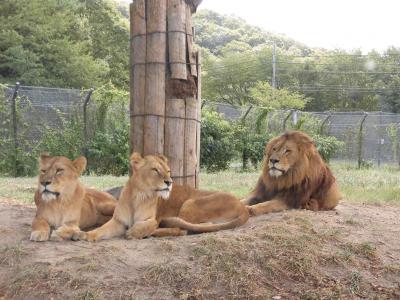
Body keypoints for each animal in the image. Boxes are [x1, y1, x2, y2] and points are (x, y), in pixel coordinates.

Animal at [76, 152, 248, 241]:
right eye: (155, 170)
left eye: (168, 171)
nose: (170, 182)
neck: (138, 196)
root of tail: (242, 206)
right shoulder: (118, 221)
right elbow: (101, 230)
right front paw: (85, 234)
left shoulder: (151, 219)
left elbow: (148, 225)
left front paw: (134, 232)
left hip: (190, 203)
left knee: (184, 229)